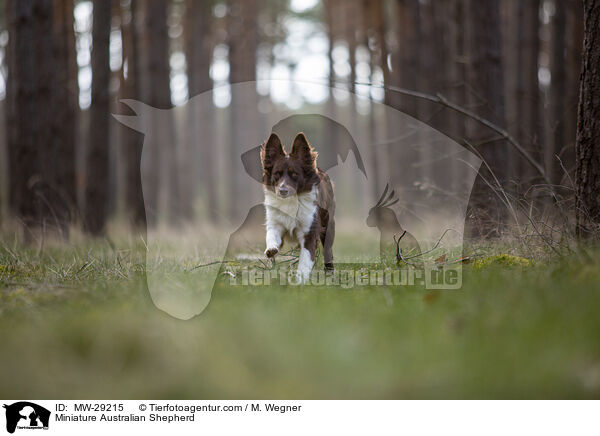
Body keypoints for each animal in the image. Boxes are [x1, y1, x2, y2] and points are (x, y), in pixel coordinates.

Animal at [260, 133, 336, 282]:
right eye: (276, 174)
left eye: (294, 174)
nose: (282, 191)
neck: (291, 201)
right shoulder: (275, 222)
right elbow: (271, 235)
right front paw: (271, 250)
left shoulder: (310, 231)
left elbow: (305, 259)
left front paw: (300, 280)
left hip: (328, 226)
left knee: (328, 251)